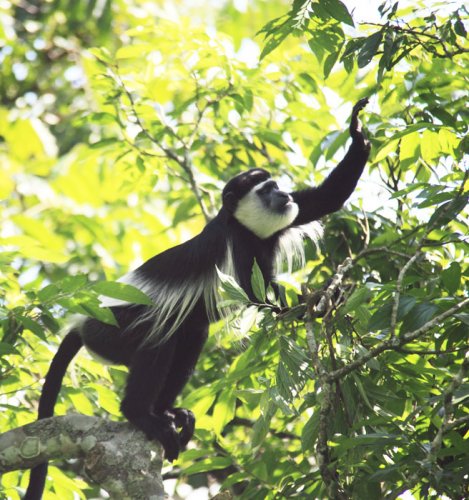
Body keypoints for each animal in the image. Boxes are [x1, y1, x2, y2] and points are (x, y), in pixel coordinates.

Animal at [24, 98, 370, 500]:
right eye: (266, 190)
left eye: (278, 186)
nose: (283, 195)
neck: (244, 227)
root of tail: (83, 323)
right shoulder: (234, 246)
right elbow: (258, 297)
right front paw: (315, 300)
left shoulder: (284, 219)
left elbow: (323, 200)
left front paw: (358, 133)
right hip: (111, 334)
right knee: (160, 340)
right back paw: (141, 414)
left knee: (190, 336)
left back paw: (168, 413)